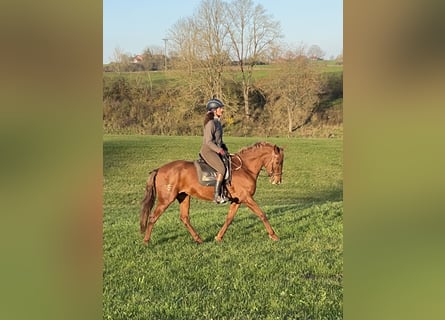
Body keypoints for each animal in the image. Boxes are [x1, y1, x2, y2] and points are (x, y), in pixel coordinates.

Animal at [140, 141, 284, 244]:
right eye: (278, 161)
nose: (277, 181)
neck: (245, 168)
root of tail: (159, 169)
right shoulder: (247, 198)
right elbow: (262, 214)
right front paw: (274, 235)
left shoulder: (238, 200)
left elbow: (229, 219)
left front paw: (218, 237)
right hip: (166, 199)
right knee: (153, 218)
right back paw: (146, 241)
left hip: (184, 197)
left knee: (184, 217)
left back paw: (198, 239)